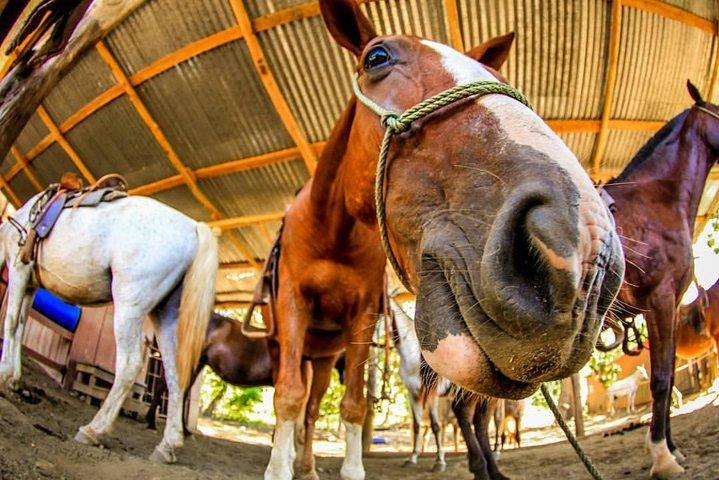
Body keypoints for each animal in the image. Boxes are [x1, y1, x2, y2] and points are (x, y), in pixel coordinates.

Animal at [0, 188, 217, 464]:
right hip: (166, 315)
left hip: (129, 308)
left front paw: (4, 375)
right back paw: (167, 446)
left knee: (129, 365)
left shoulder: (19, 270)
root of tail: (193, 228)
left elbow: (10, 322)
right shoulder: (31, 285)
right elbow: (20, 326)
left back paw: (93, 430)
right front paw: (15, 379)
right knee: (174, 373)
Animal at [264, 2, 624, 479]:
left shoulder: (361, 318)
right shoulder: (292, 304)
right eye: (376, 57)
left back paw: (306, 465)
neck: (332, 232)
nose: (585, 247)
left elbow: (353, 405)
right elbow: (286, 396)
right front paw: (277, 468)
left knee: (313, 401)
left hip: (323, 356)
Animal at [602, 82, 719, 478]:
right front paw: (661, 456)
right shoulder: (660, 301)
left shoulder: (668, 306)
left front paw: (672, 448)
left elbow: (665, 376)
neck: (656, 201)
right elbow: (661, 380)